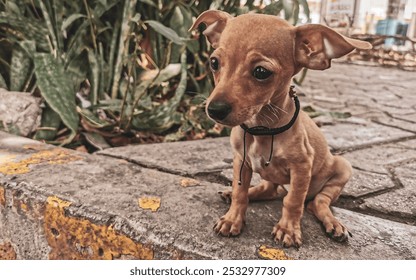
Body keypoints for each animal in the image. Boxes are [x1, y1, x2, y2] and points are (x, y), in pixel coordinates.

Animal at [190, 10, 372, 247]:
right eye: (214, 62)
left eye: (261, 72)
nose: (215, 110)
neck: (261, 129)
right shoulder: (241, 160)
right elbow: (240, 193)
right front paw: (232, 219)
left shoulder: (302, 167)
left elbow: (293, 201)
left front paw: (288, 229)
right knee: (269, 189)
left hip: (343, 167)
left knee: (316, 202)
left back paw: (334, 224)